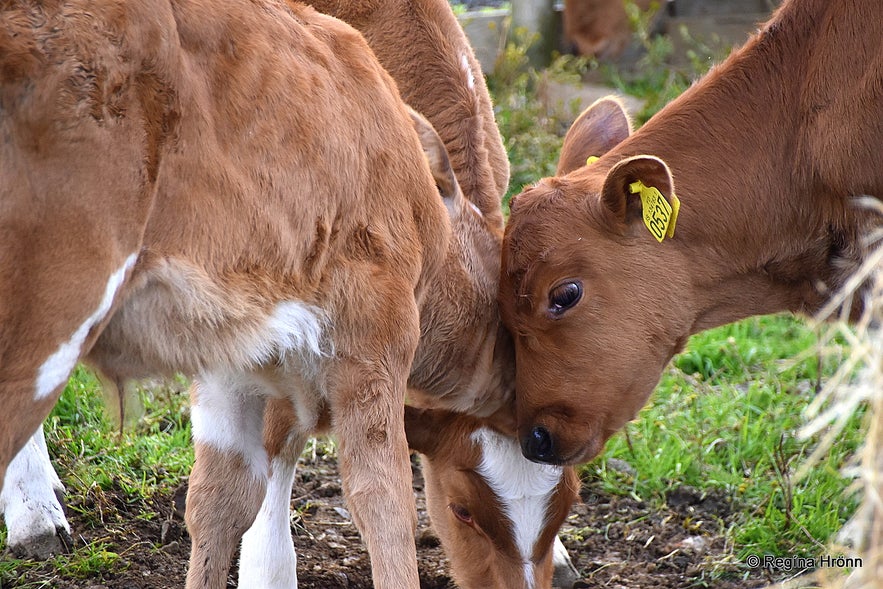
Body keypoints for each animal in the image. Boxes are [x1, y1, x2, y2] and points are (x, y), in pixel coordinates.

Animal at [0, 2, 512, 584]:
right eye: (463, 508)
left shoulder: (234, 361)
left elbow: (220, 498)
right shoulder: (374, 339)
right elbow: (383, 503)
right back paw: (36, 515)